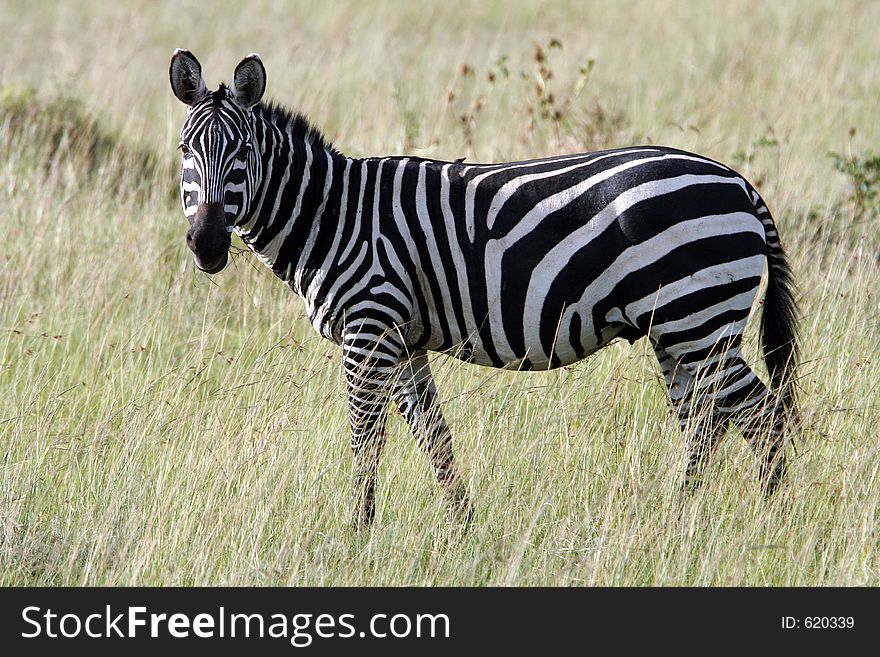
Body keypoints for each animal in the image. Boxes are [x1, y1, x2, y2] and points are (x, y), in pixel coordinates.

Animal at [170, 48, 796, 524]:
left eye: (242, 154)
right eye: (184, 151)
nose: (206, 243)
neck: (333, 216)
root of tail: (739, 182)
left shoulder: (368, 329)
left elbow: (365, 441)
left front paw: (358, 534)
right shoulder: (404, 340)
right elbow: (435, 439)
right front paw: (463, 529)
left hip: (698, 320)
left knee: (762, 418)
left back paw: (770, 519)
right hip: (675, 329)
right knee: (705, 425)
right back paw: (674, 519)